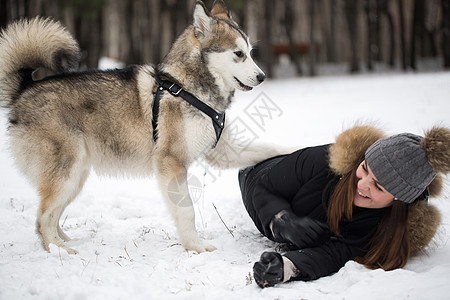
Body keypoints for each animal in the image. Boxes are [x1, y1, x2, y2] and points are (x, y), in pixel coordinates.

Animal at [0, 0, 286, 254]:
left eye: (250, 52)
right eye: (238, 54)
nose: (262, 76)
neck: (188, 88)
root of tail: (24, 89)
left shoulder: (224, 152)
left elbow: (270, 148)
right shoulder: (171, 162)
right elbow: (187, 211)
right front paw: (195, 246)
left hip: (75, 177)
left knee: (52, 215)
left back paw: (65, 242)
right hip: (65, 174)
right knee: (42, 219)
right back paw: (59, 251)